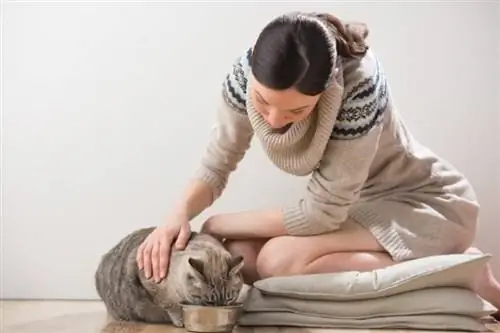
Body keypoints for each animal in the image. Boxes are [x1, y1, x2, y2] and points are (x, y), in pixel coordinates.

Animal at [94, 227, 246, 326]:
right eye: (208, 302)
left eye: (230, 298)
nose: (222, 308)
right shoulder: (152, 284)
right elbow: (170, 305)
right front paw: (180, 321)